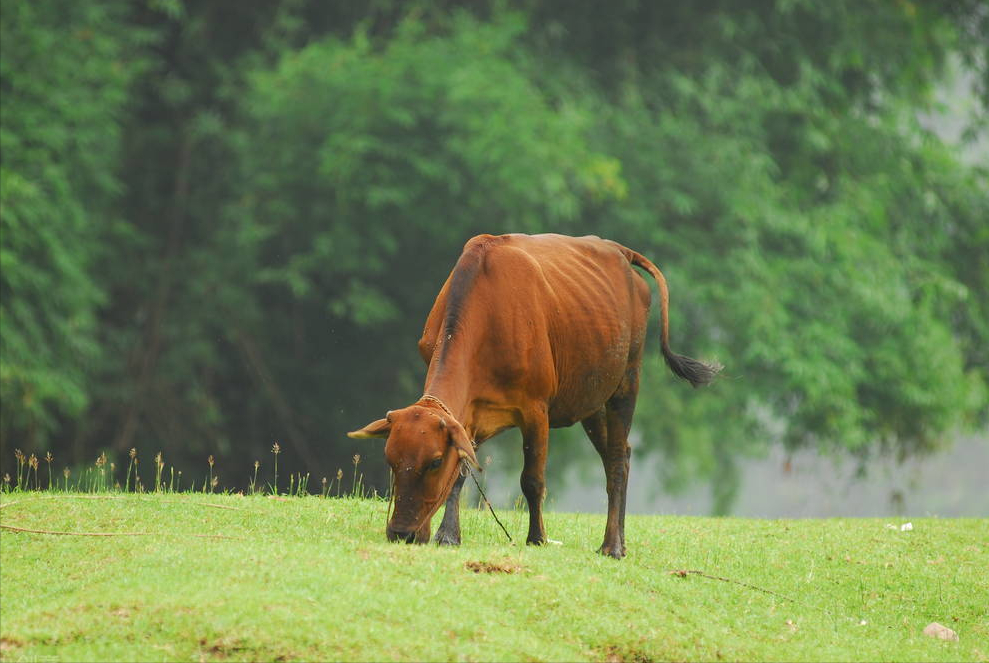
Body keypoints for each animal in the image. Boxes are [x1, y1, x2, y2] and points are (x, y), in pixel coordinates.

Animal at [350, 233, 716, 560]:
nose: (402, 533)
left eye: (434, 462)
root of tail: (620, 251)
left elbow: (533, 479)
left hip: (627, 379)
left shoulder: (536, 408)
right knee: (621, 453)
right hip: (592, 399)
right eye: (391, 460)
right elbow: (461, 473)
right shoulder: (468, 414)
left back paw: (612, 546)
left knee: (615, 457)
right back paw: (619, 542)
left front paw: (537, 538)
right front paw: (448, 535)